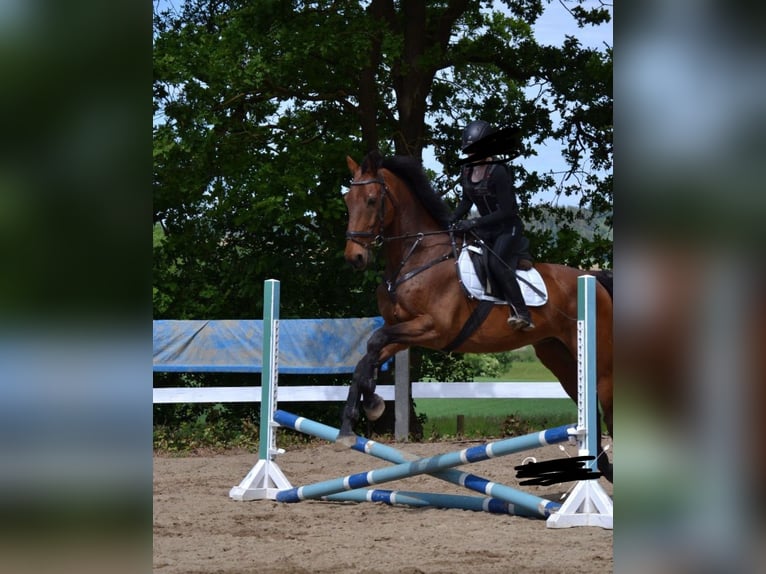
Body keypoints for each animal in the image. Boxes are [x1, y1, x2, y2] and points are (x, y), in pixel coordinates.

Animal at [342, 151, 616, 484]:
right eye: (347, 200)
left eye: (371, 200)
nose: (354, 257)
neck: (416, 257)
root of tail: (594, 278)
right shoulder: (403, 330)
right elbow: (367, 355)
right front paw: (359, 415)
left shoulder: (433, 329)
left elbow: (375, 341)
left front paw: (369, 404)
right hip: (557, 356)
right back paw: (602, 466)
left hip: (601, 364)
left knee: (609, 407)